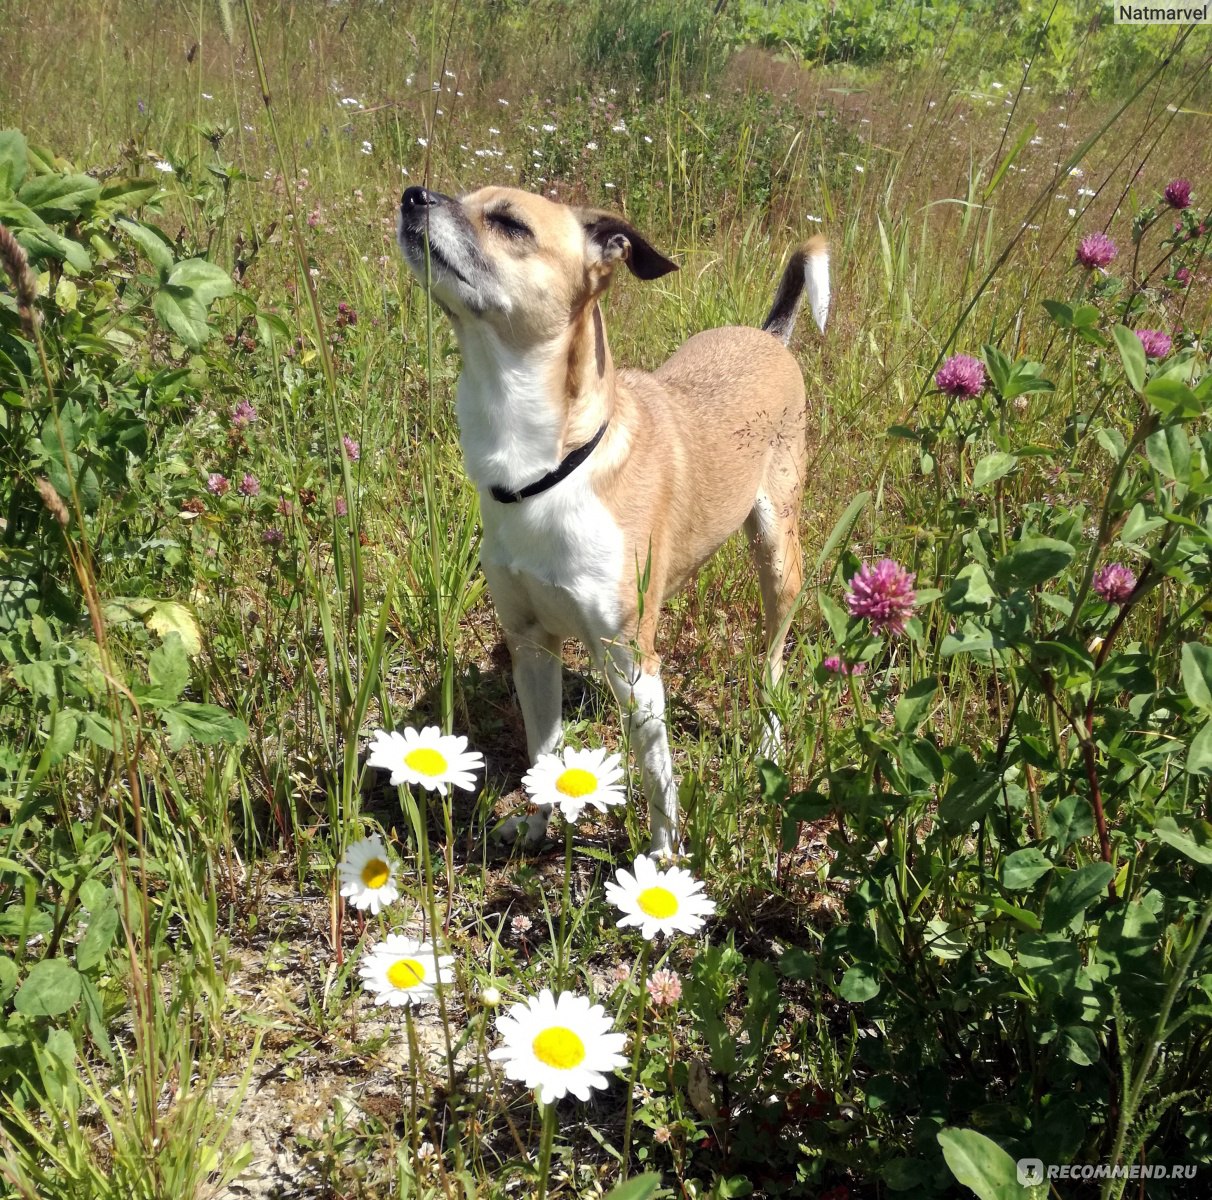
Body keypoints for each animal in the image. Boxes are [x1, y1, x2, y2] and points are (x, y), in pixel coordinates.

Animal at [395, 185, 824, 853]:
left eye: (510, 223)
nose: (413, 195)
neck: (545, 473)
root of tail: (770, 336)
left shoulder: (635, 667)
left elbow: (658, 782)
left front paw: (663, 861)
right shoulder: (530, 646)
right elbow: (544, 752)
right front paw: (539, 825)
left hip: (778, 555)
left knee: (773, 661)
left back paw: (769, 743)